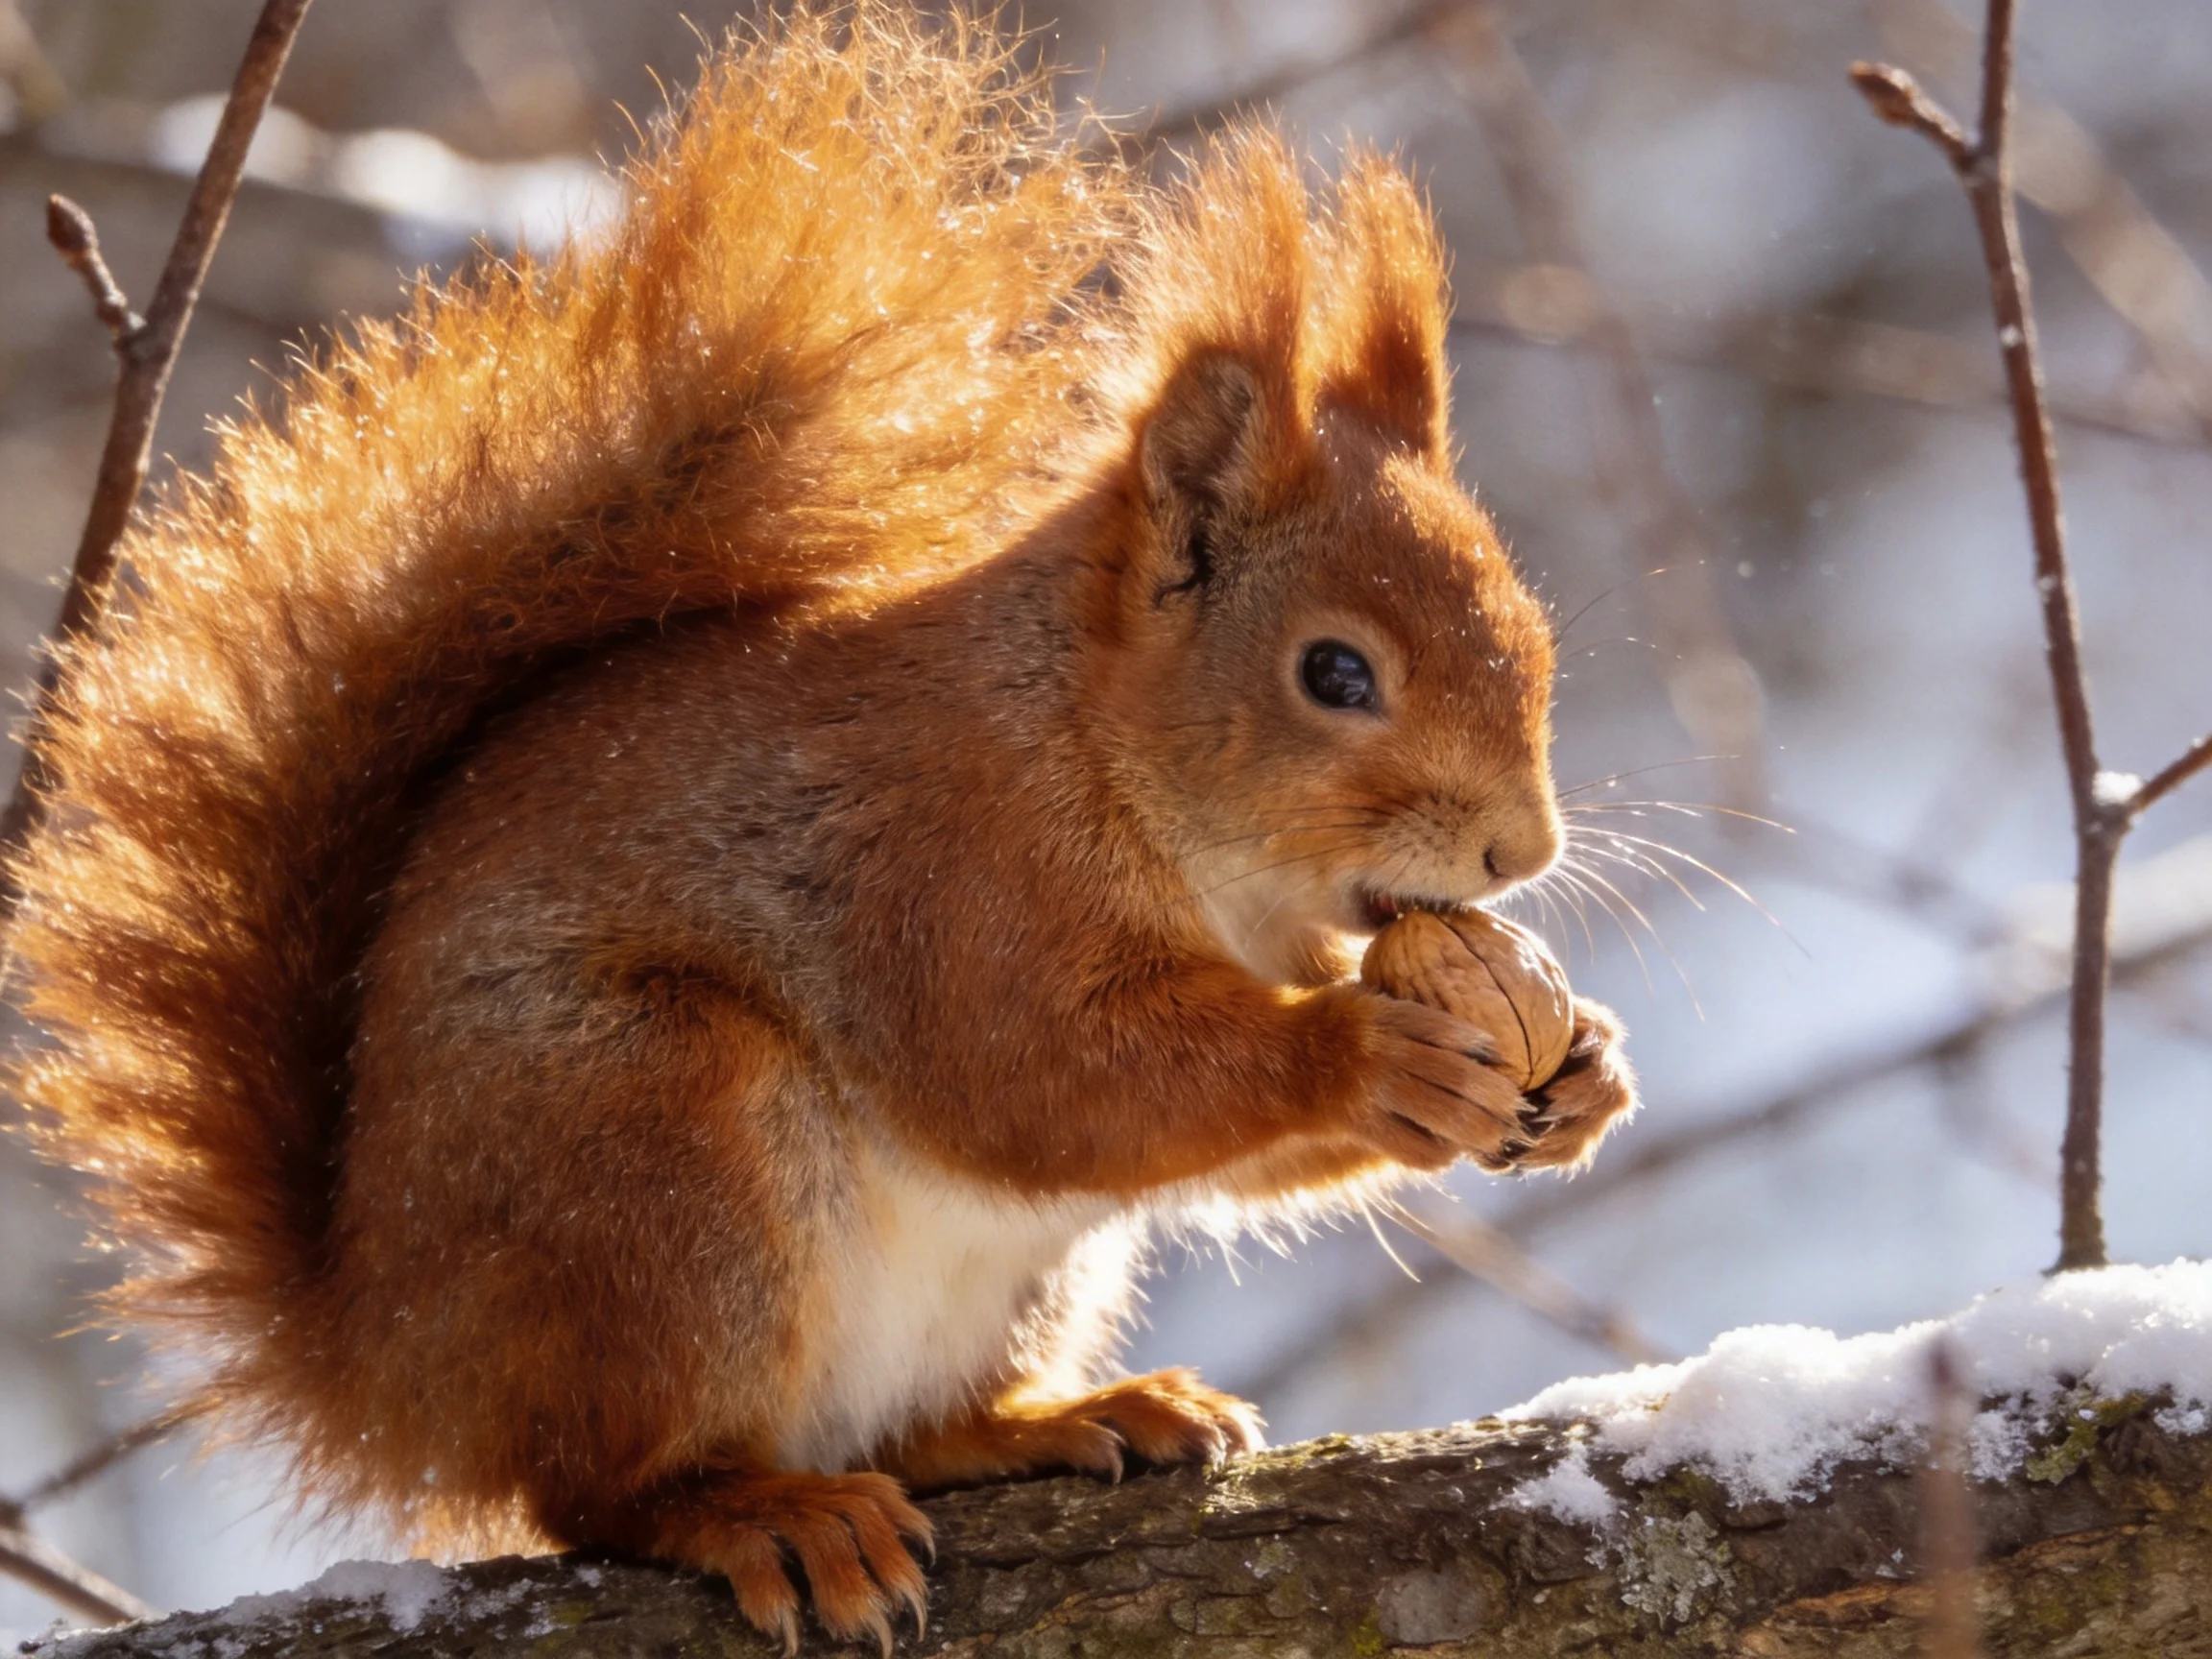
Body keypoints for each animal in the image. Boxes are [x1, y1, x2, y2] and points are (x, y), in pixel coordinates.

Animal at [6, 5, 1636, 1651]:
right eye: (1335, 674)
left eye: (1532, 631)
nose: (1523, 856)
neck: (1101, 755)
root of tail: (394, 1365)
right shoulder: (943, 867)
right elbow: (1048, 1075)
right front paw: (1370, 1053)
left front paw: (1584, 1066)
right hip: (656, 1148)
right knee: (599, 1487)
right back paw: (759, 1513)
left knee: (907, 1427)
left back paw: (1055, 1418)